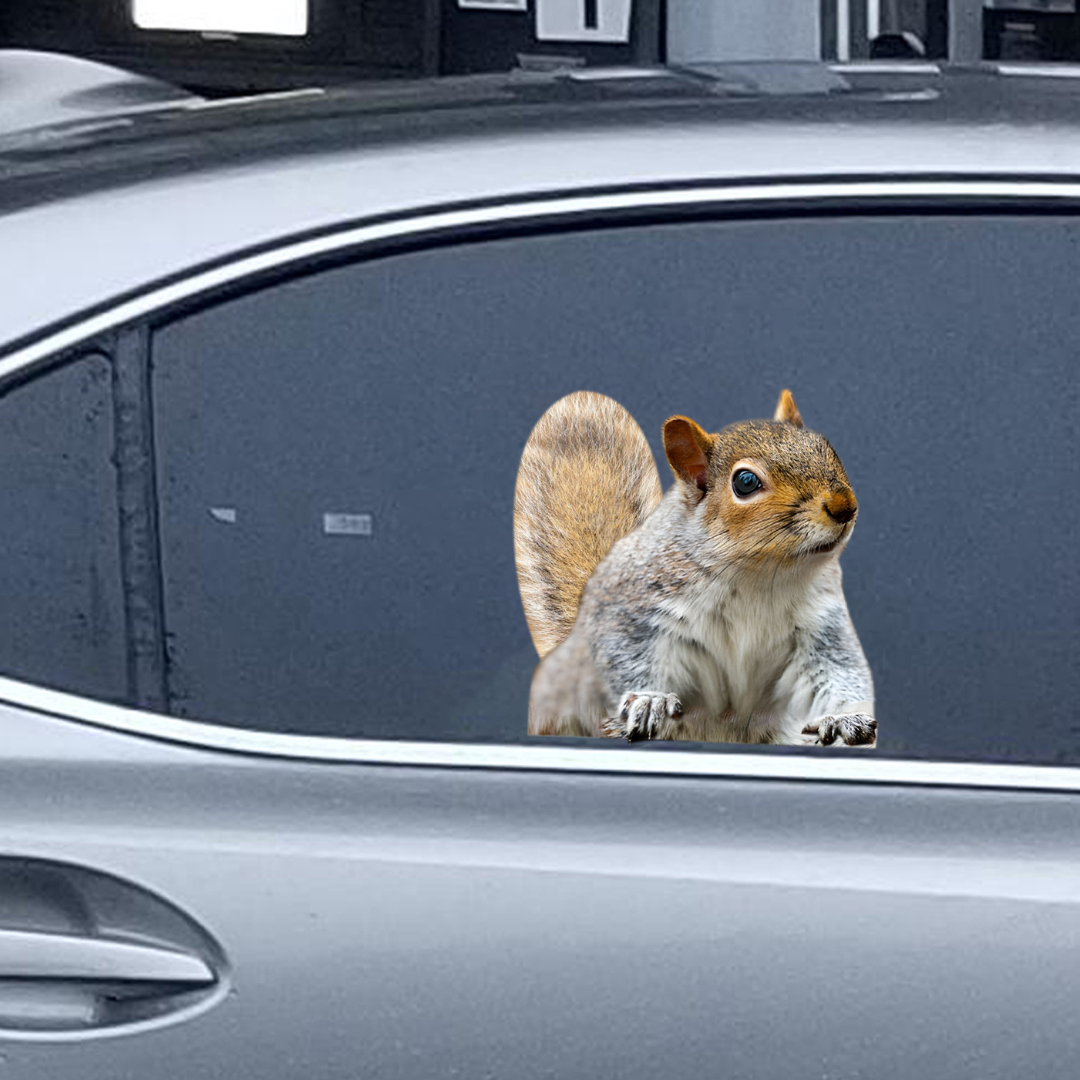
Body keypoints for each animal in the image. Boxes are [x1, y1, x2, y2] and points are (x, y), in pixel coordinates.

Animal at [513, 389, 875, 747]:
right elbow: (628, 655)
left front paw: (846, 717)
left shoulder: (821, 625)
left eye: (827, 448)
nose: (845, 507)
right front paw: (650, 700)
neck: (761, 575)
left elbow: (838, 673)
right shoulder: (633, 606)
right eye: (746, 481)